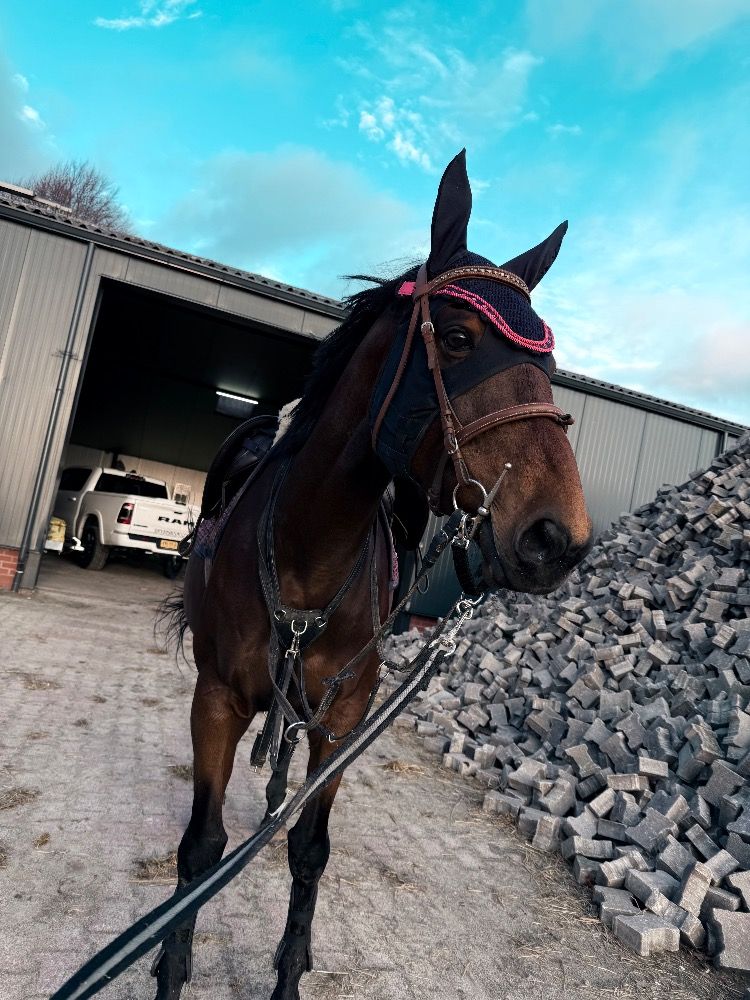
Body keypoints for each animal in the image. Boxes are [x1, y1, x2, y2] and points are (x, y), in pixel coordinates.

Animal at [154, 150, 593, 1000]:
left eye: (549, 365)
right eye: (456, 338)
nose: (559, 538)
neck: (307, 556)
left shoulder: (345, 715)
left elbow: (310, 850)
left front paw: (288, 972)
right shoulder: (216, 698)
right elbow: (200, 849)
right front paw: (170, 962)